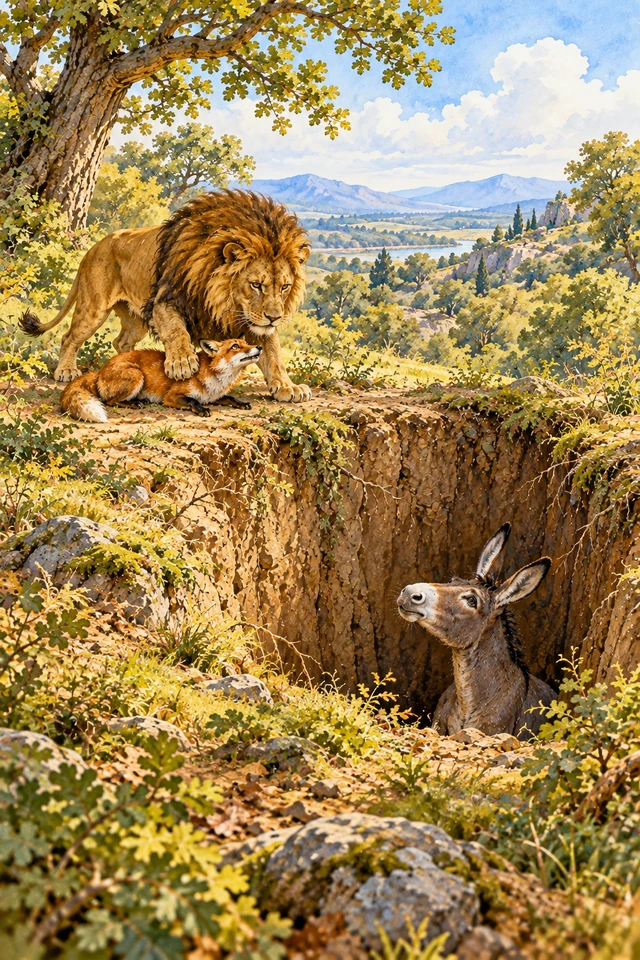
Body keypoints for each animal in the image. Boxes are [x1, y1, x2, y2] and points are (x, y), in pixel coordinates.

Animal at [19, 190, 312, 402]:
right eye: (256, 285)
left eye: (285, 287)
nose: (275, 317)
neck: (223, 302)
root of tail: (93, 247)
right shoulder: (164, 301)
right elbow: (175, 331)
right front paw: (182, 364)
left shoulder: (253, 322)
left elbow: (273, 353)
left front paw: (288, 386)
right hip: (94, 308)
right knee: (70, 337)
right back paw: (66, 371)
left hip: (135, 320)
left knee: (121, 341)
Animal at [60, 339, 262, 423]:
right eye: (235, 346)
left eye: (247, 343)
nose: (259, 346)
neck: (217, 381)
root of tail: (100, 370)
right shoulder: (172, 396)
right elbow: (192, 401)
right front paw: (201, 410)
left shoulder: (212, 396)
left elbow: (230, 398)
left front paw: (242, 403)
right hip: (136, 375)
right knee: (109, 401)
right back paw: (136, 403)